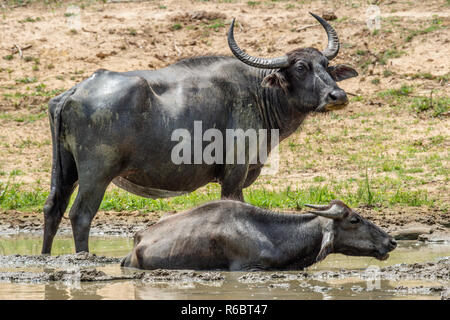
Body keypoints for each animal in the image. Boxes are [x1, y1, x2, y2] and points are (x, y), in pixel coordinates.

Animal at [43, 12, 358, 254]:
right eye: (301, 67)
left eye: (326, 66)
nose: (338, 96)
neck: (259, 93)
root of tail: (74, 92)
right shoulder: (234, 175)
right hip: (96, 174)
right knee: (81, 214)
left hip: (66, 169)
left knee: (53, 208)